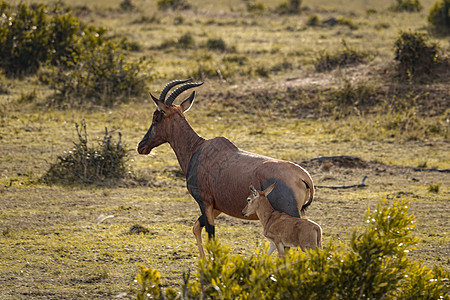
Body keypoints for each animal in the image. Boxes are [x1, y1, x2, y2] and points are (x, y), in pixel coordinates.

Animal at [135, 79, 314, 258]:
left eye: (156, 117)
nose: (141, 146)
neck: (198, 149)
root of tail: (303, 176)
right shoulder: (217, 207)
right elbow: (196, 227)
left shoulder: (205, 202)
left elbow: (210, 235)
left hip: (290, 214)